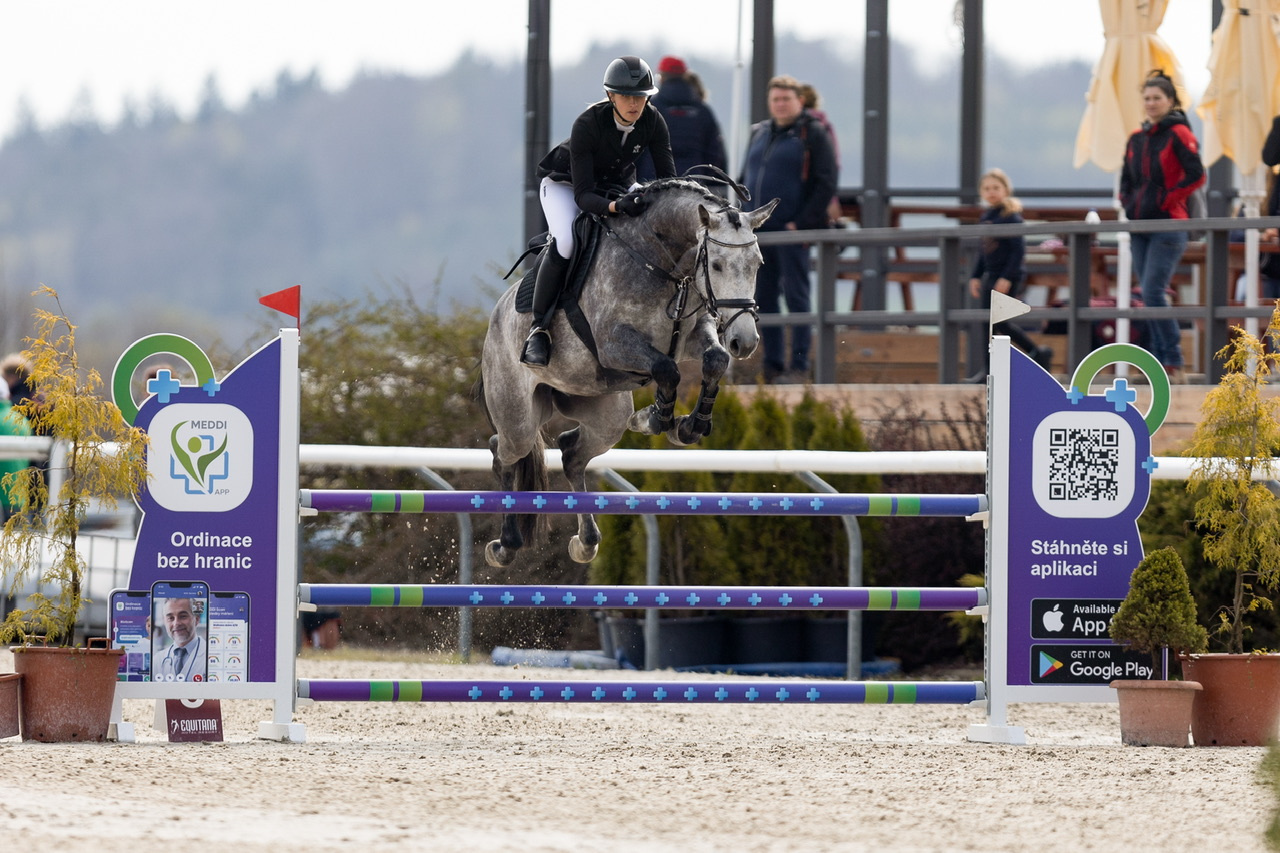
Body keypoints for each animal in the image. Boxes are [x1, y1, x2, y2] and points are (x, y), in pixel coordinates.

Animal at [477, 178, 777, 568]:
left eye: (757, 263)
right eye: (718, 265)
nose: (745, 341)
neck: (662, 265)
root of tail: (495, 319)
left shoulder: (693, 335)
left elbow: (714, 359)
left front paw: (689, 425)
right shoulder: (614, 343)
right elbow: (666, 369)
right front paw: (656, 418)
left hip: (606, 414)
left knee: (571, 453)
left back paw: (586, 542)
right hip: (518, 416)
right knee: (505, 453)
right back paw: (505, 545)